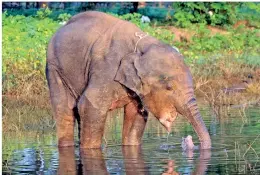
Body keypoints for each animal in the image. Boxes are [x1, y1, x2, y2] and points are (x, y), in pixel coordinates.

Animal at [45, 11, 211, 149]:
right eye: (169, 87)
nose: (188, 140)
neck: (143, 44)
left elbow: (137, 114)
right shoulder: (106, 70)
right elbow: (90, 105)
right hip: (54, 68)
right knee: (64, 110)